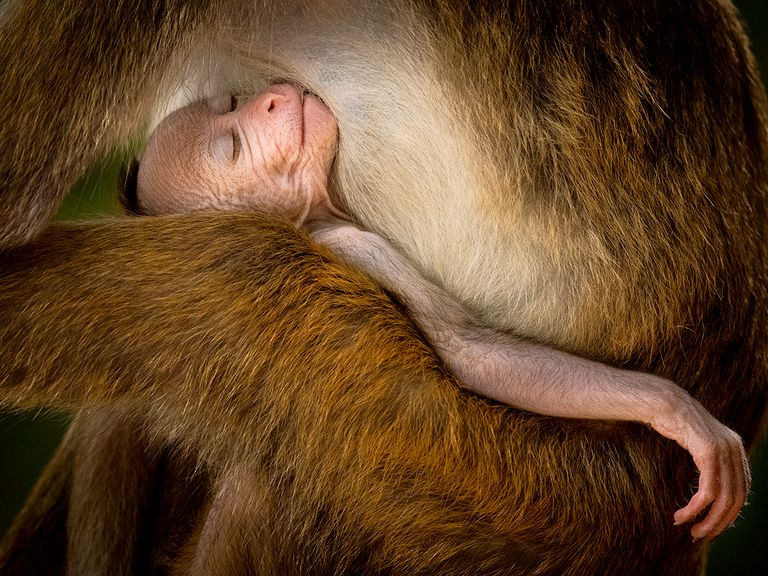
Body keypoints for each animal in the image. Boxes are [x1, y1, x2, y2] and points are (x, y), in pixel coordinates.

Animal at [132, 83, 752, 544]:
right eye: (234, 149)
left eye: (231, 105)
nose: (266, 100)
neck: (315, 218)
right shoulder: (359, 245)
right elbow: (466, 352)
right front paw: (673, 409)